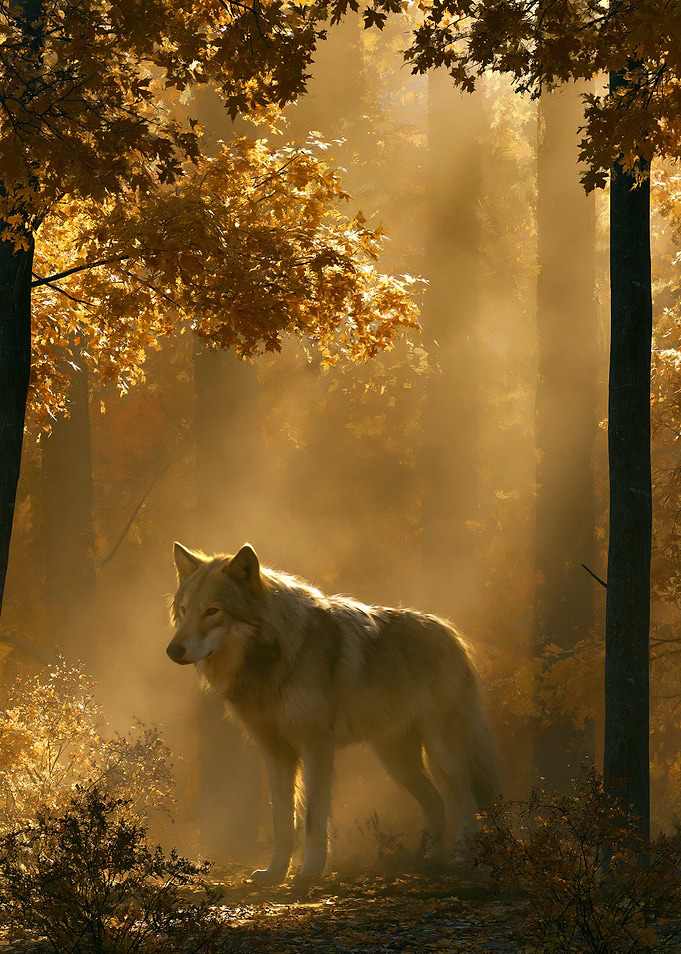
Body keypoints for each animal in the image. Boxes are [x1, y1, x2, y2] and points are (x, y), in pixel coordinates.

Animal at [166, 542, 499, 883]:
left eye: (212, 611)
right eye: (184, 610)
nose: (173, 651)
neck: (273, 659)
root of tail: (451, 632)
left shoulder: (316, 748)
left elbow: (313, 819)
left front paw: (309, 872)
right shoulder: (275, 752)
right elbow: (281, 820)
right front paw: (275, 873)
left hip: (441, 754)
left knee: (467, 801)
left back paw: (463, 859)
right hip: (396, 762)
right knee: (436, 801)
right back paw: (428, 859)